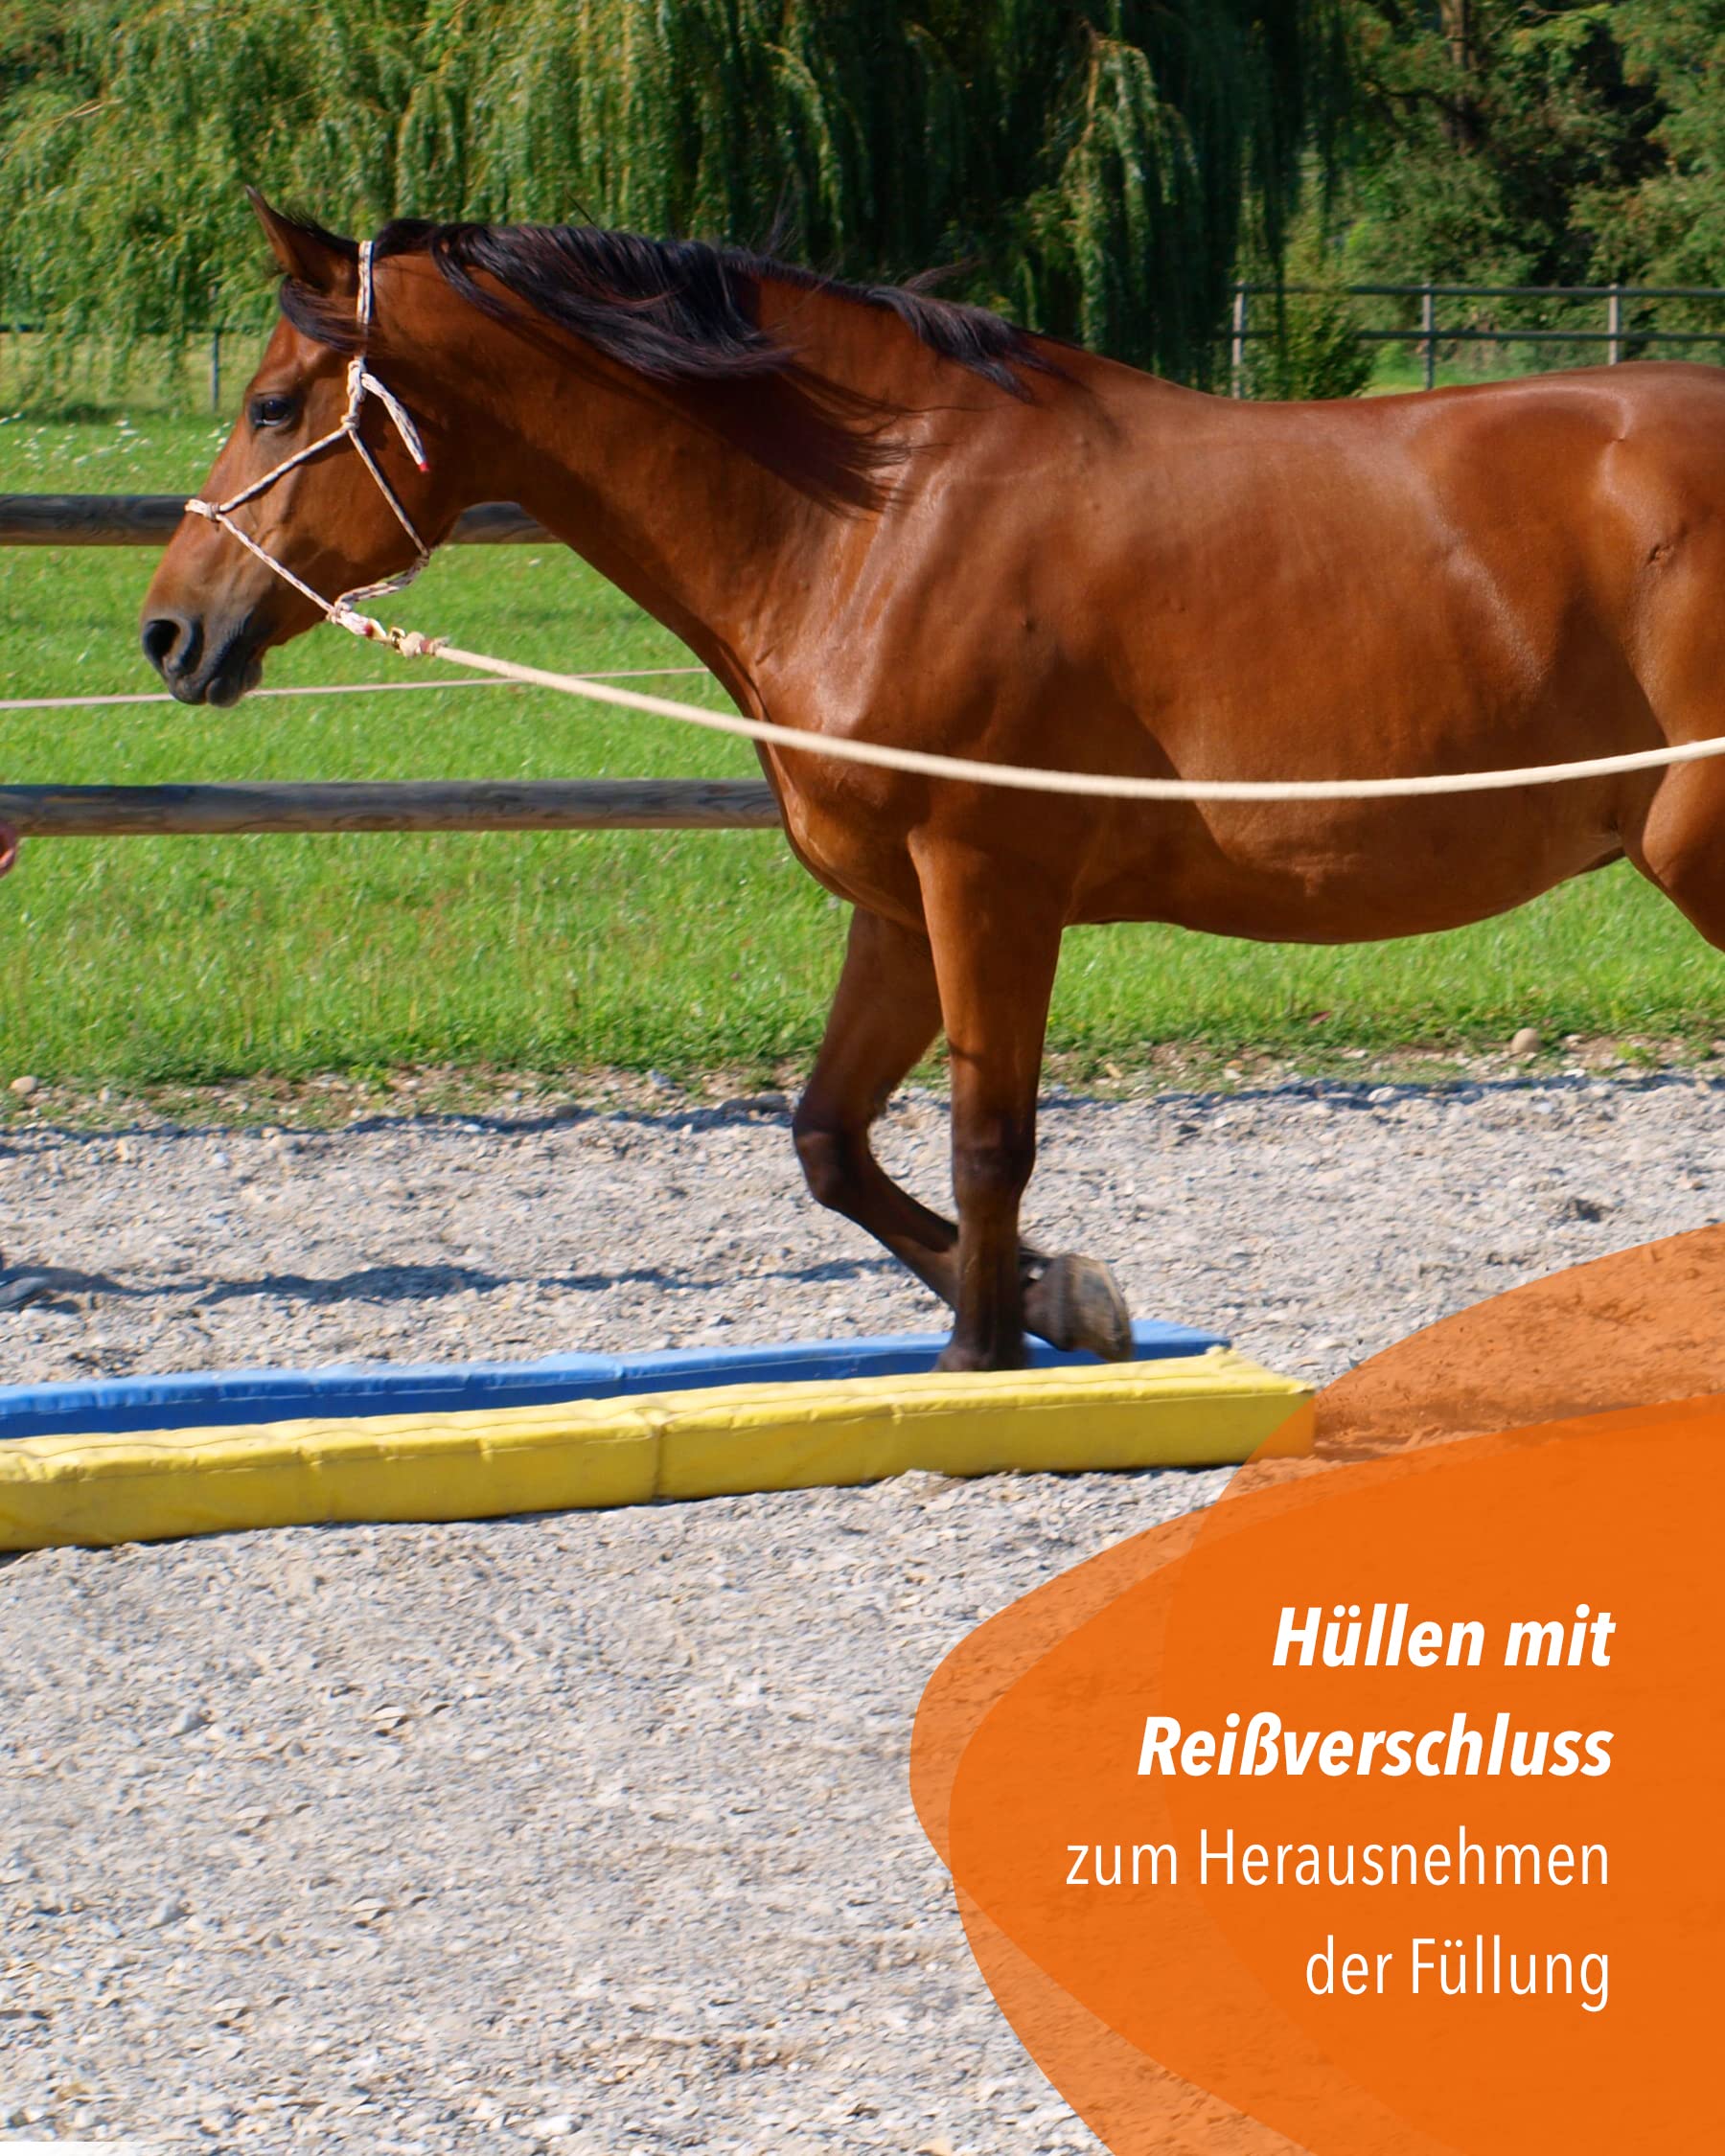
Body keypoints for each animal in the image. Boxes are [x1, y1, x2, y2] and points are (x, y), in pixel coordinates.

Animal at [143, 192, 1725, 1372]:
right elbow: (831, 1141)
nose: (171, 631)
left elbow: (986, 1141)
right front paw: (1052, 1300)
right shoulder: (897, 908)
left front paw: (984, 1356)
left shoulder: (987, 884)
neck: (885, 519)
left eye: (273, 404)